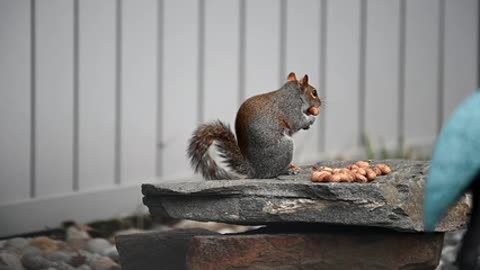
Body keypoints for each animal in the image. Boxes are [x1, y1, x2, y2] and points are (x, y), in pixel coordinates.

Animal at [188, 73, 322, 180]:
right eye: (314, 92)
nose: (320, 103)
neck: (293, 93)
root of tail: (255, 170)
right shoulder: (291, 107)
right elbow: (297, 122)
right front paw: (311, 119)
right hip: (285, 147)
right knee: (273, 172)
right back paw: (288, 170)